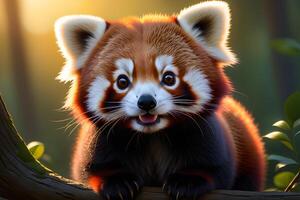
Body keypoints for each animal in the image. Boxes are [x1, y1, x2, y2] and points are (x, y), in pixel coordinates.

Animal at [55, 0, 266, 199]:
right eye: (122, 81)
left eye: (169, 78)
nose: (146, 102)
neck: (153, 137)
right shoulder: (99, 141)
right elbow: (93, 169)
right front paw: (117, 183)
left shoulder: (208, 136)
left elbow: (214, 167)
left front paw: (187, 182)